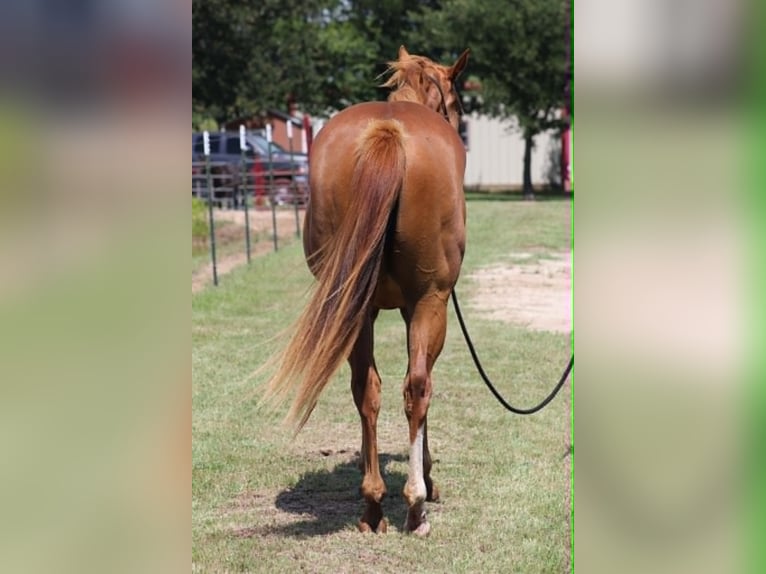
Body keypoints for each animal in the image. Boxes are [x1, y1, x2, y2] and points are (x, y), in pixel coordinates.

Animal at [265, 46, 470, 536]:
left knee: (366, 388)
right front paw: (427, 479)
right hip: (430, 302)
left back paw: (372, 504)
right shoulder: (422, 306)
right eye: (457, 104)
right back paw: (415, 507)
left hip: (352, 306)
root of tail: (387, 131)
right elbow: (420, 385)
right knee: (417, 387)